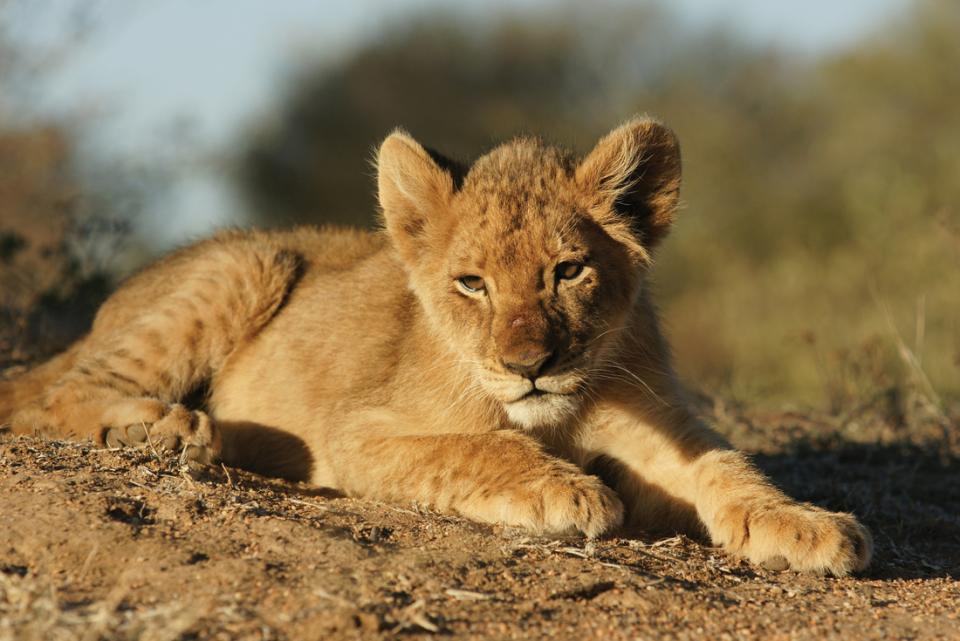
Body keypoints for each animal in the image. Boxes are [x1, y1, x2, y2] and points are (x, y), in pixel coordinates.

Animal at [0, 117, 871, 575]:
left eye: (568, 270)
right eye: (472, 283)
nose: (530, 368)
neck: (560, 410)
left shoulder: (658, 425)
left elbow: (729, 468)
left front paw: (810, 524)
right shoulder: (358, 433)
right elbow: (481, 445)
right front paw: (569, 490)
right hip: (253, 260)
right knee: (52, 392)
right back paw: (158, 429)